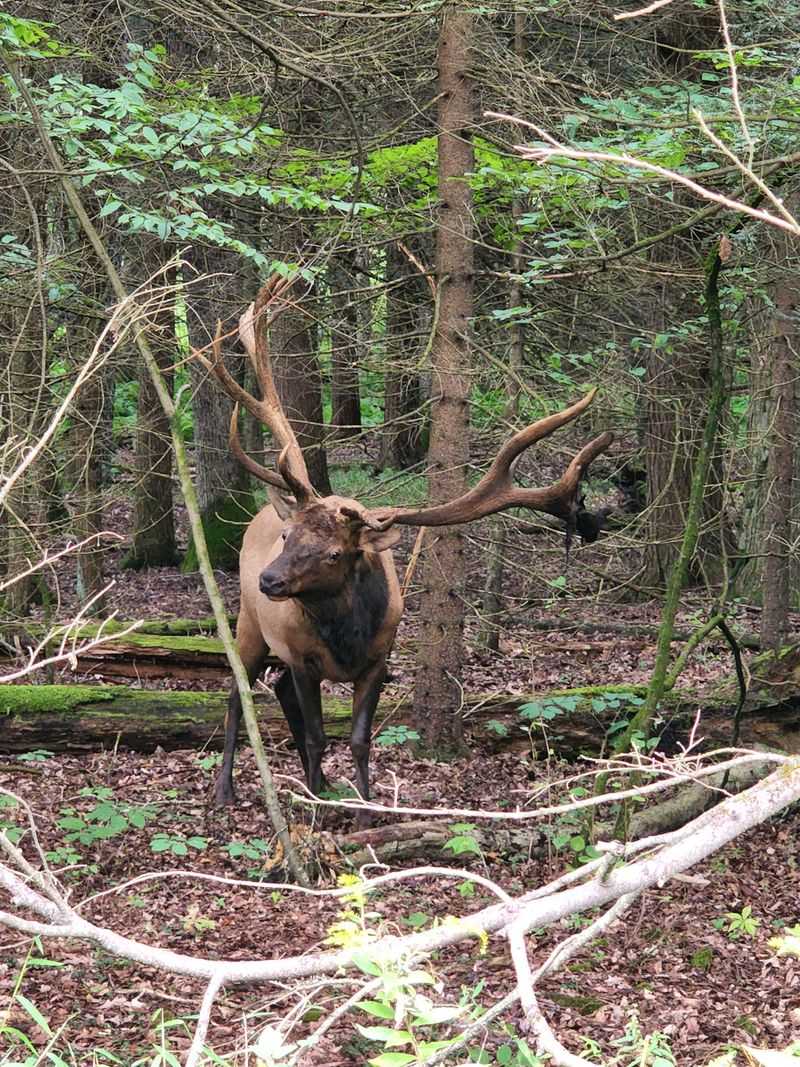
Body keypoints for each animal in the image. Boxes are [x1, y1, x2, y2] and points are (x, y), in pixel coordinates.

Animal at [192, 276, 613, 823]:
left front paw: (364, 807)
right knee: (234, 694)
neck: (345, 637)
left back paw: (317, 783)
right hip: (248, 623)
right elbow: (317, 736)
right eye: (289, 537)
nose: (270, 579)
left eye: (335, 553)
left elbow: (358, 740)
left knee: (275, 691)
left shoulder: (380, 658)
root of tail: (260, 513)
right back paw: (227, 789)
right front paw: (317, 809)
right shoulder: (303, 656)